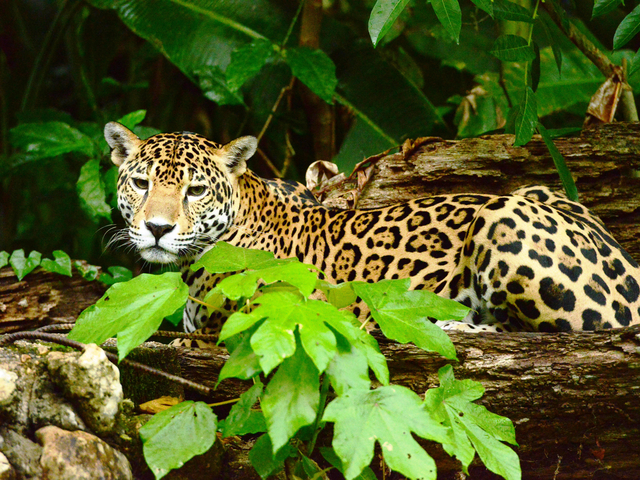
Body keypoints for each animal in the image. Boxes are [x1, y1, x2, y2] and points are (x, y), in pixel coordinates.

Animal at [104, 121, 640, 344]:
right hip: (534, 190)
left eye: (195, 190)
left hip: (500, 215)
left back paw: (446, 323)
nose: (157, 228)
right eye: (141, 183)